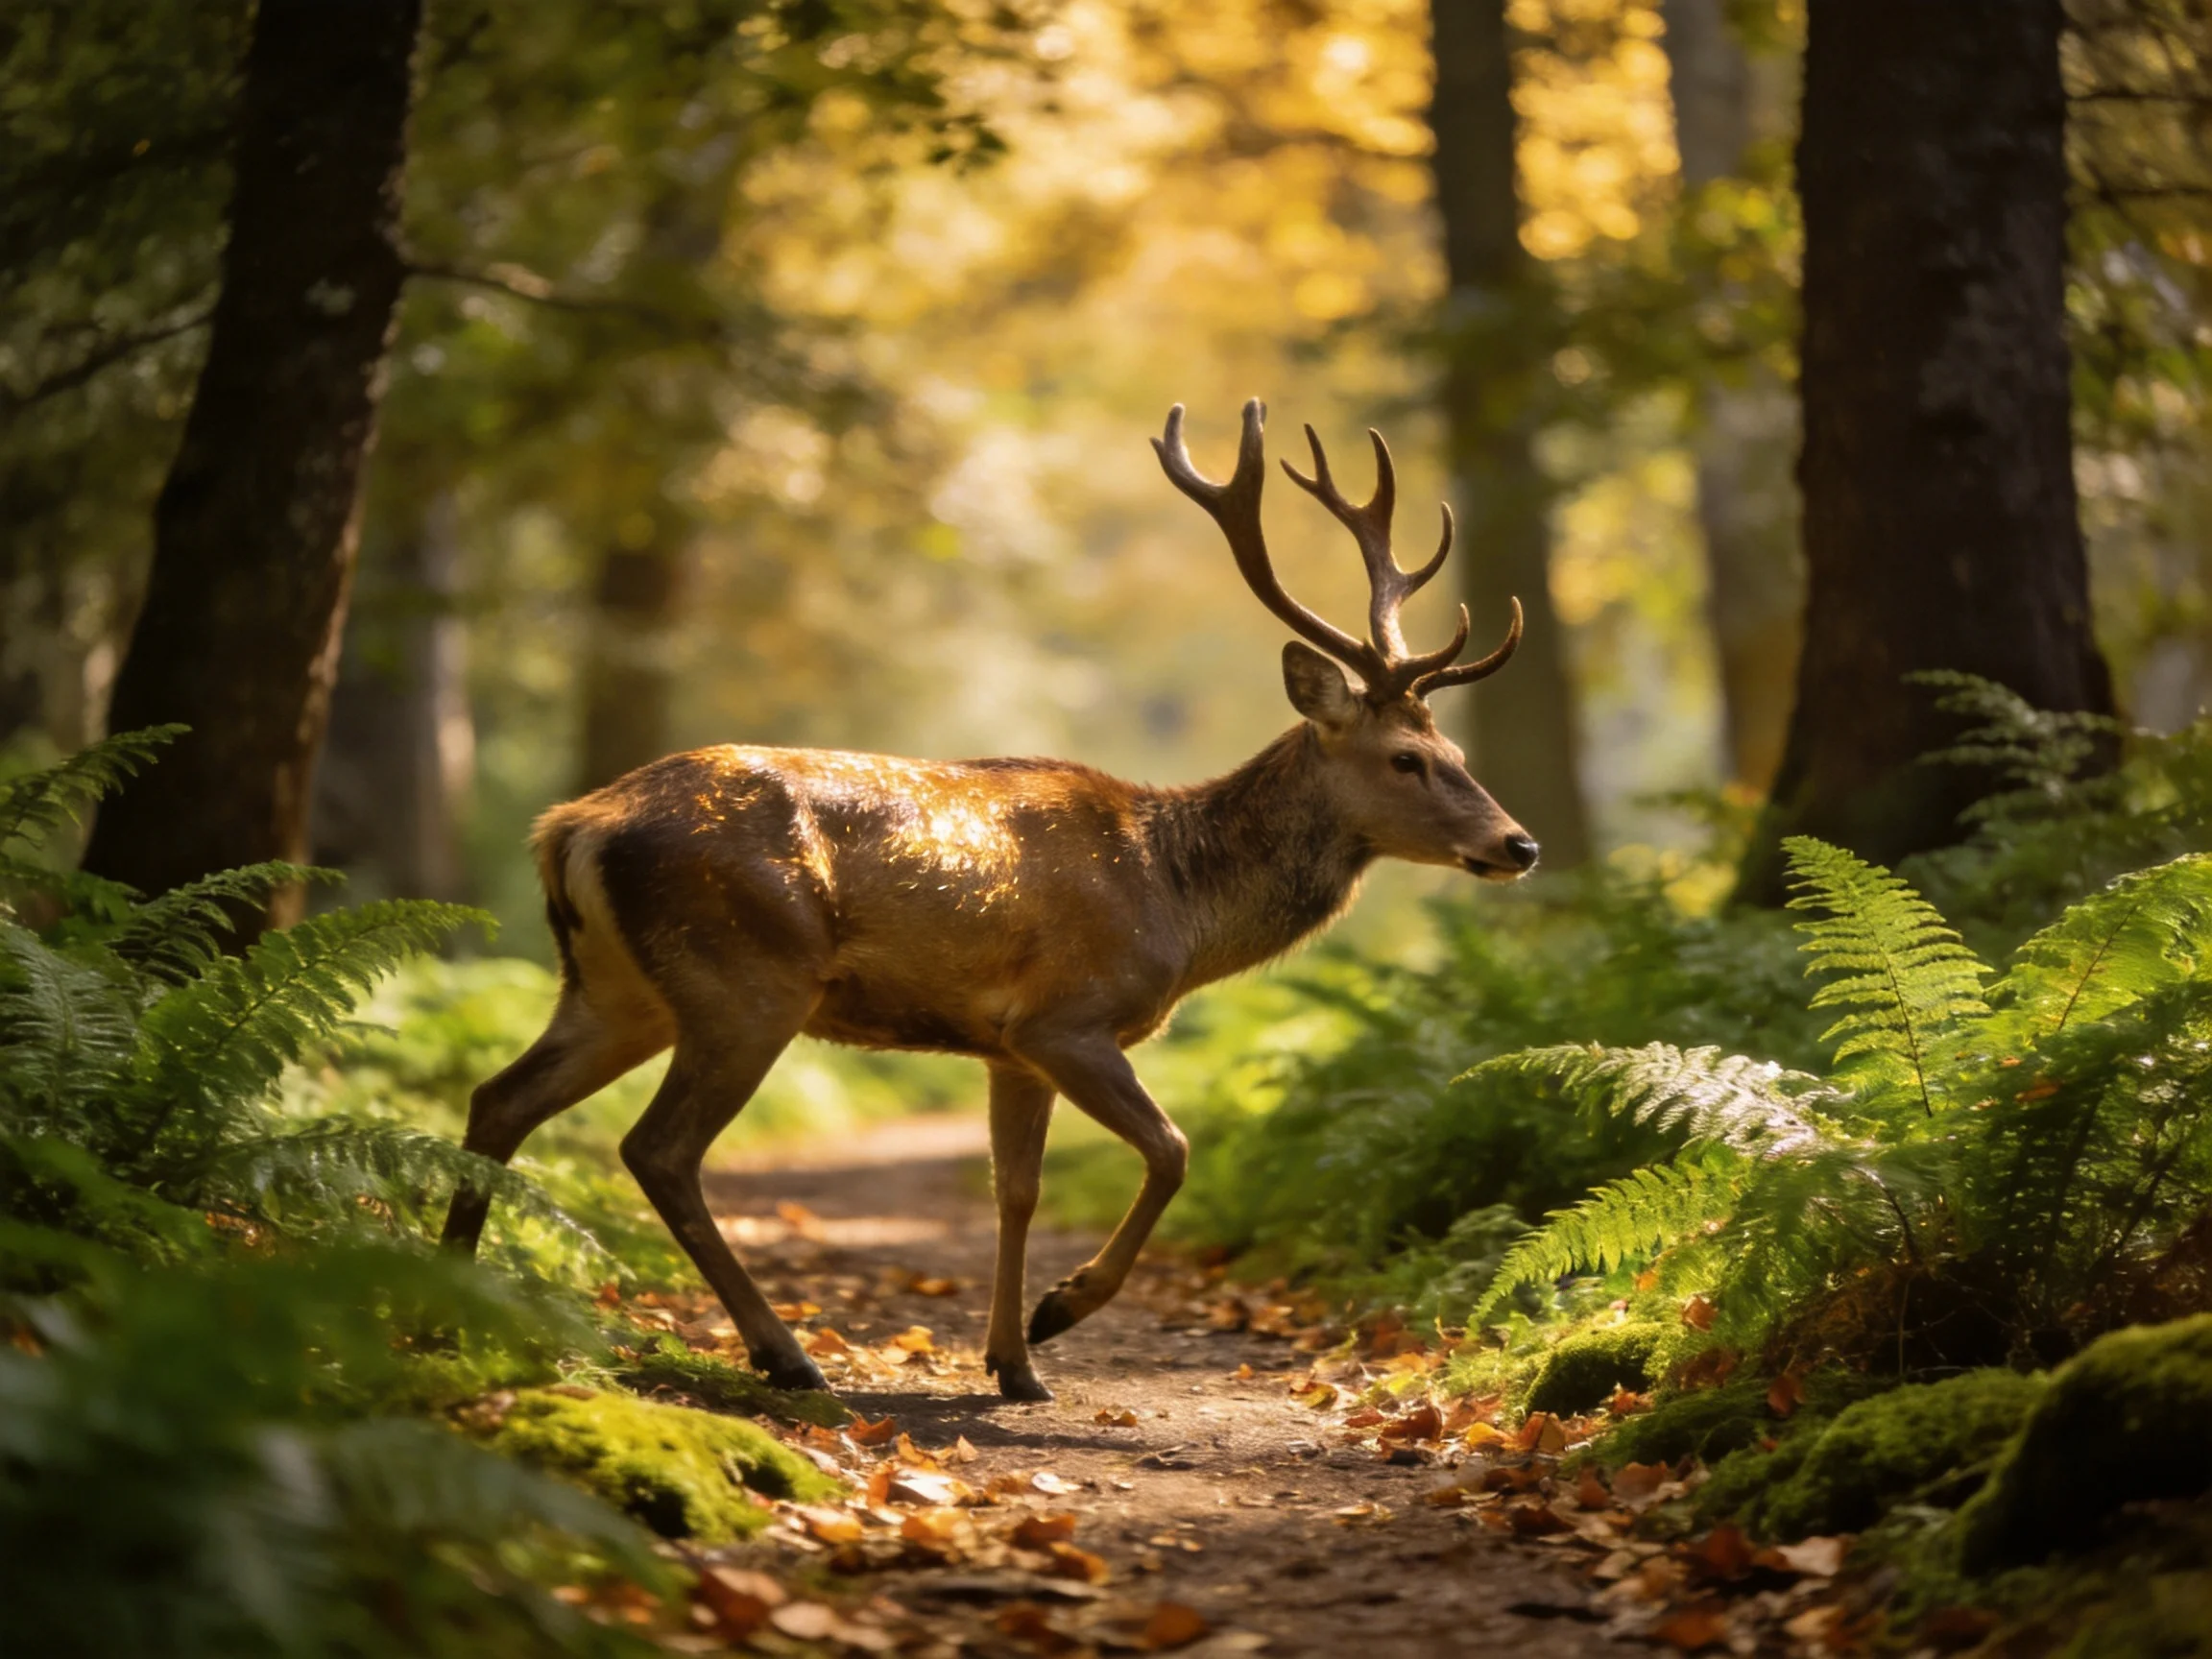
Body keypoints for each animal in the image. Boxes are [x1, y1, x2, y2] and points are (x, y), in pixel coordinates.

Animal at [440, 399, 1538, 1402]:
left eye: (1457, 748)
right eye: (1406, 759)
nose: (1518, 844)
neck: (1177, 901)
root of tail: (571, 827)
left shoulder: (1008, 1048)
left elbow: (1017, 1191)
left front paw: (1014, 1364)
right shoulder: (1067, 1018)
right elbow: (1172, 1150)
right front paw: (1061, 1311)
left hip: (616, 990)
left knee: (500, 1099)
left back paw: (440, 1292)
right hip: (742, 979)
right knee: (658, 1149)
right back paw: (786, 1355)